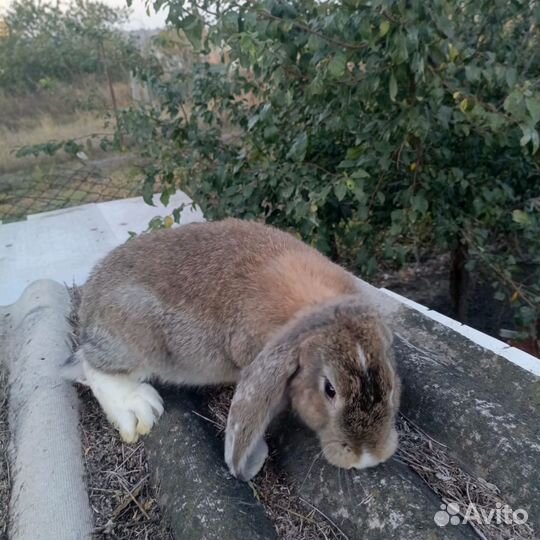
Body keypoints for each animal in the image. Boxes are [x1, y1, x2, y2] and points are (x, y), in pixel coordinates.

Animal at [65, 217, 398, 478]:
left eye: (390, 383)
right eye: (329, 389)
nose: (368, 457)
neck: (316, 306)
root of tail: (89, 305)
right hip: (136, 340)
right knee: (94, 367)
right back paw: (137, 410)